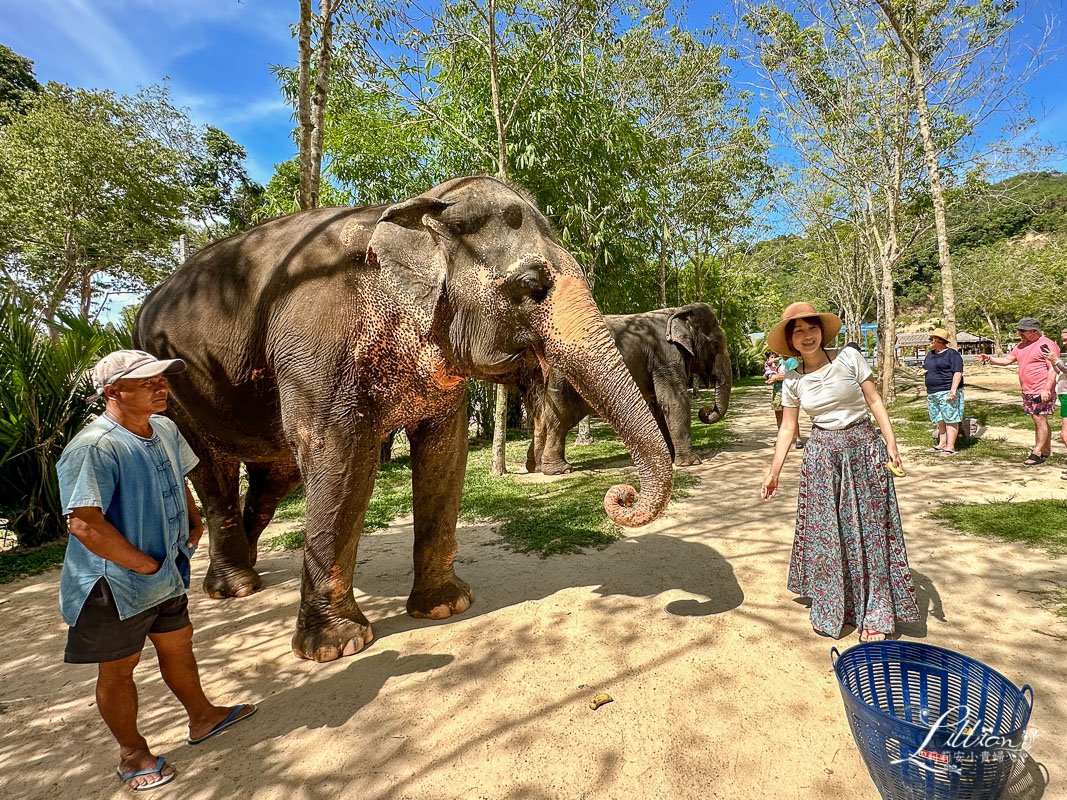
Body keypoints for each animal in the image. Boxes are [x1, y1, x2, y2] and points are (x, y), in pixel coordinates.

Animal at [131, 180, 665, 665]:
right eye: (533, 288)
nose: (621, 496)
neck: (415, 207)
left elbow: (445, 453)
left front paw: (446, 606)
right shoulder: (318, 347)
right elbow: (338, 455)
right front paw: (337, 647)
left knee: (274, 478)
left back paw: (253, 569)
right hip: (171, 385)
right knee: (211, 470)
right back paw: (236, 588)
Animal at [522, 302, 729, 473]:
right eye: (715, 344)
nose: (704, 411)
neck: (678, 310)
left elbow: (658, 406)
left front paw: (668, 457)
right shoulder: (665, 357)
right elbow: (674, 401)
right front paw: (691, 462)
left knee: (542, 416)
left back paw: (536, 467)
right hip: (564, 377)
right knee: (560, 417)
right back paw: (559, 470)